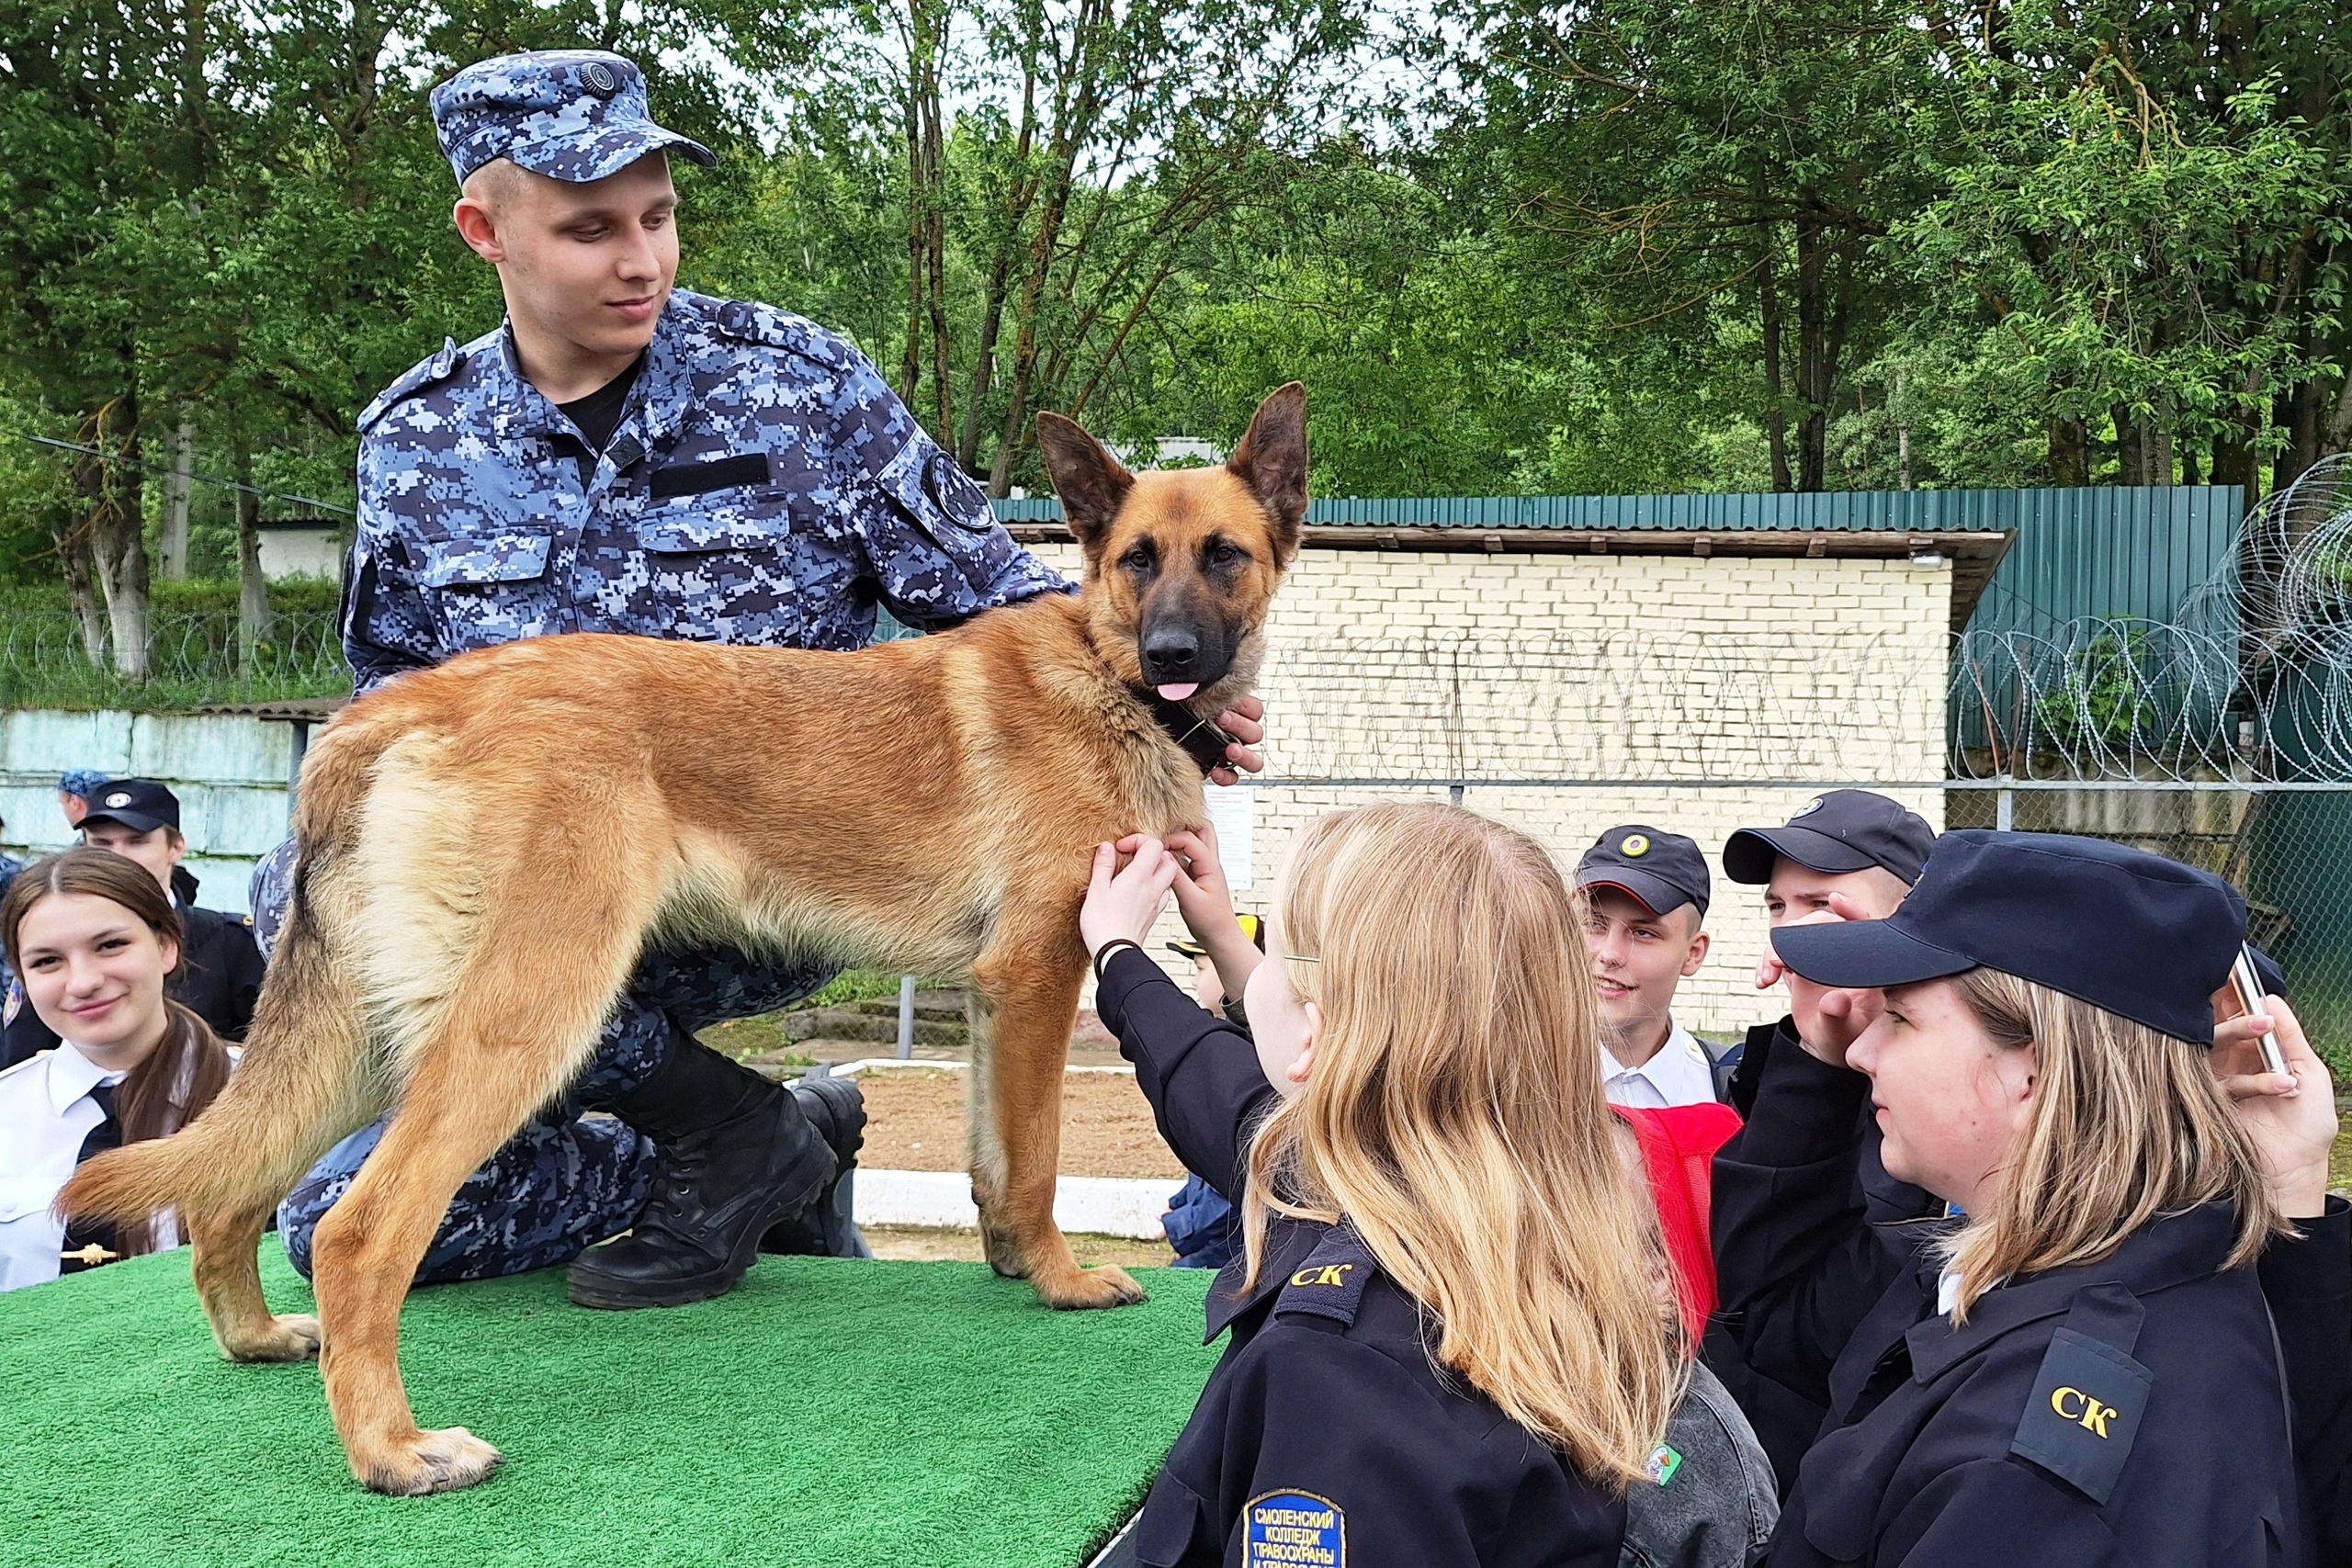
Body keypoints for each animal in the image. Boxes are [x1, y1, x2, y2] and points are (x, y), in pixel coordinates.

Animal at [59, 383, 1307, 1495]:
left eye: (1222, 556)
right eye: (1138, 558)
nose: (1175, 653)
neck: (1104, 674)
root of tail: (397, 706)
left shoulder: (1001, 1002)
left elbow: (995, 1163)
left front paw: (1012, 1265)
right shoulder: (1043, 978)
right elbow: (1037, 1157)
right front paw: (1059, 1282)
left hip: (374, 1038)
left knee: (232, 1188)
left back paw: (258, 1337)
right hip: (531, 1015)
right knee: (359, 1234)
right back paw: (394, 1454)